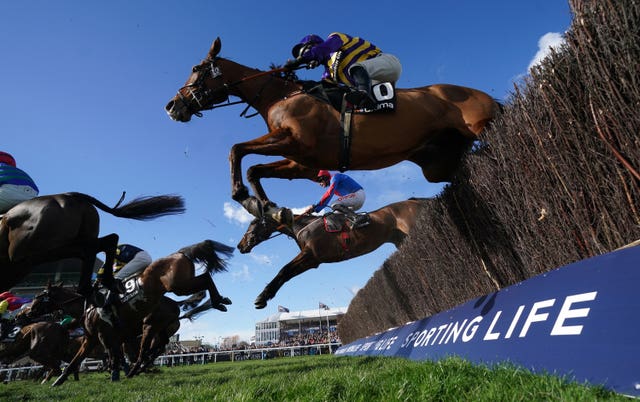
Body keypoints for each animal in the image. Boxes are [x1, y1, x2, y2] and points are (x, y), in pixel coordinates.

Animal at [0, 192, 185, 296]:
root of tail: (70, 195)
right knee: (107, 241)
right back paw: (100, 285)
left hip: (32, 253)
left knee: (89, 250)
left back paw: (88, 288)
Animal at [52, 240, 232, 384]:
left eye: (46, 295)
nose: (60, 322)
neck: (92, 303)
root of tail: (179, 253)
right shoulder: (92, 338)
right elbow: (76, 360)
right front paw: (59, 380)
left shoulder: (107, 335)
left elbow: (113, 355)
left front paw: (114, 374)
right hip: (165, 316)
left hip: (175, 291)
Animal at [166, 36, 500, 220]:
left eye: (196, 68)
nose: (172, 106)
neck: (281, 95)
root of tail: (483, 95)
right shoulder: (300, 161)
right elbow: (255, 169)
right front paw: (269, 208)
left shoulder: (296, 141)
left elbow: (236, 150)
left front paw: (240, 194)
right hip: (439, 164)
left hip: (479, 126)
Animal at [236, 198, 424, 308]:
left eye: (252, 223)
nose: (240, 245)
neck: (302, 226)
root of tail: (414, 201)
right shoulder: (312, 261)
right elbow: (287, 274)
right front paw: (265, 296)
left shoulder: (310, 255)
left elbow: (284, 269)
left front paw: (261, 297)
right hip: (400, 239)